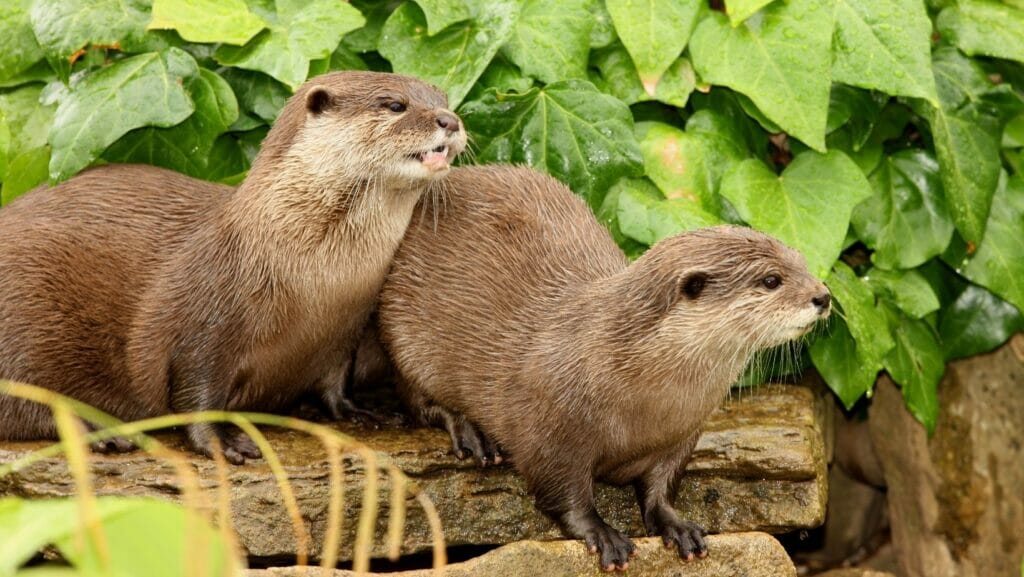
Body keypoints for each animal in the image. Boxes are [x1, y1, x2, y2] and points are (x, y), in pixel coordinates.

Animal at [0, 71, 466, 464]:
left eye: (444, 99)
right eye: (395, 105)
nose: (450, 120)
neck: (320, 281)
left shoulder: (345, 332)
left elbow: (334, 384)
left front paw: (361, 411)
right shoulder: (207, 319)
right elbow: (196, 392)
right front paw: (222, 441)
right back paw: (103, 431)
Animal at [377, 166, 830, 571]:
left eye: (804, 263)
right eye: (771, 280)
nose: (823, 295)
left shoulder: (683, 434)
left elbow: (661, 485)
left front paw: (676, 525)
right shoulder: (550, 430)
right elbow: (563, 490)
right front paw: (602, 533)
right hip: (401, 333)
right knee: (417, 398)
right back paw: (472, 435)